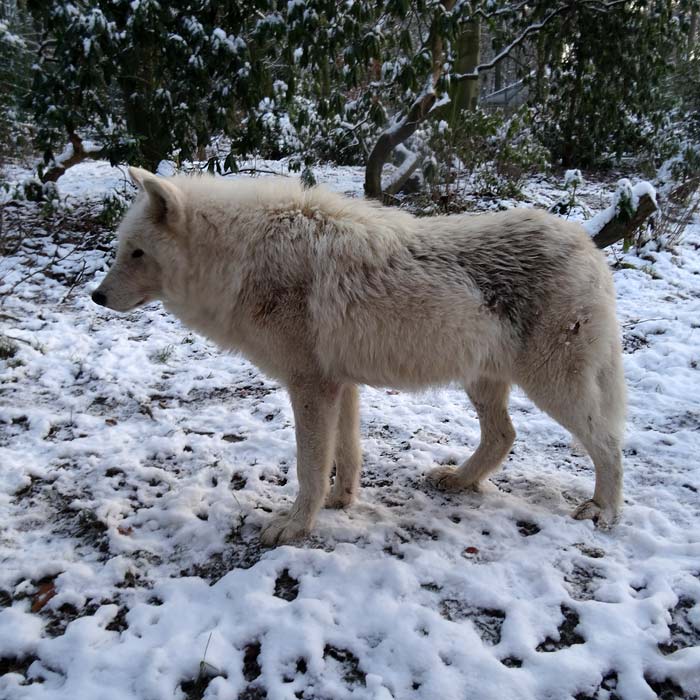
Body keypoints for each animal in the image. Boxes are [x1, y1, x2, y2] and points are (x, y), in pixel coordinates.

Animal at [91, 170, 624, 548]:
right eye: (122, 249)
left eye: (136, 253)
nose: (96, 296)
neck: (241, 261)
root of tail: (590, 247)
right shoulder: (339, 385)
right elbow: (345, 456)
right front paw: (340, 503)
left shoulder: (310, 386)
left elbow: (309, 467)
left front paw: (295, 527)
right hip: (484, 383)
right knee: (504, 435)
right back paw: (459, 480)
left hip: (552, 388)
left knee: (609, 443)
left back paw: (603, 510)